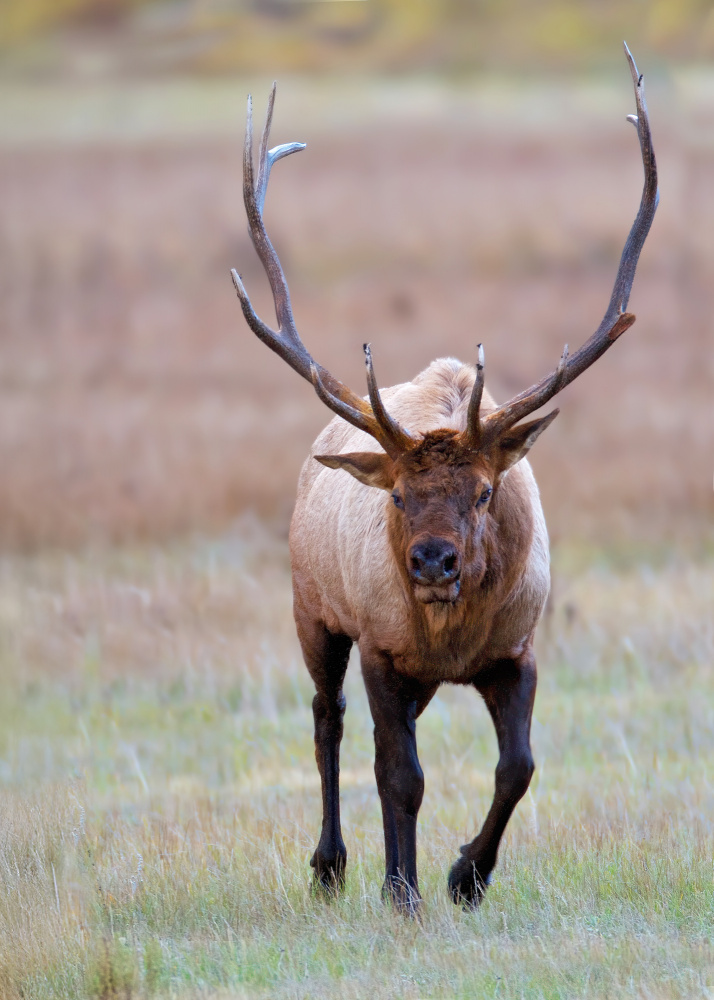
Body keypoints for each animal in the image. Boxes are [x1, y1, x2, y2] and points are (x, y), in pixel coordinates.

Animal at [230, 44, 658, 913]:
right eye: (398, 495)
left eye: (484, 492)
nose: (432, 561)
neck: (452, 635)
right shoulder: (380, 647)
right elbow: (401, 775)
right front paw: (405, 889)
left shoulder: (517, 650)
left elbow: (517, 767)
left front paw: (466, 874)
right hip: (312, 608)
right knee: (329, 722)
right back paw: (332, 864)